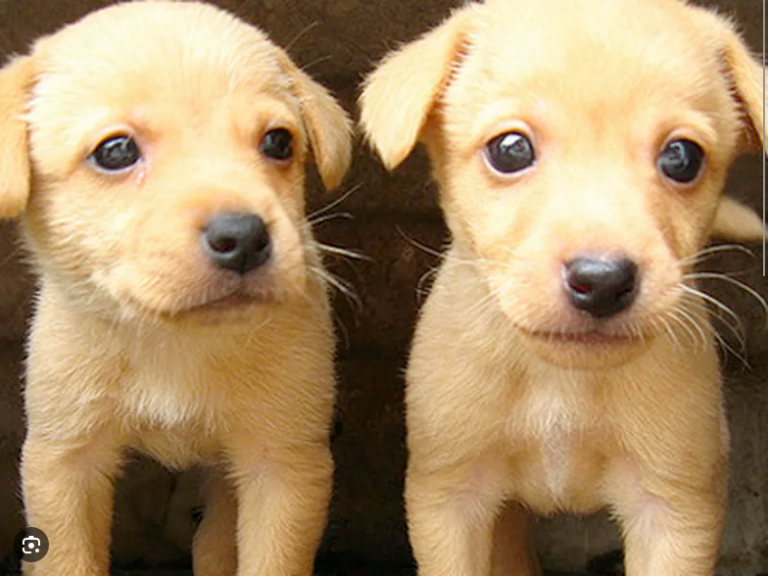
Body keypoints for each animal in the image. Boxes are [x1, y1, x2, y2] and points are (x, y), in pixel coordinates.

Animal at [0, 2, 352, 572]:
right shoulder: (64, 459)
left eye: (279, 142)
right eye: (116, 151)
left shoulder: (282, 464)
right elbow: (68, 558)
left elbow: (268, 559)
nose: (244, 237)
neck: (175, 342)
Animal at [362, 1, 768, 576]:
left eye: (682, 157)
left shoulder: (672, 508)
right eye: (510, 150)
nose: (601, 281)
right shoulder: (449, 498)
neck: (561, 382)